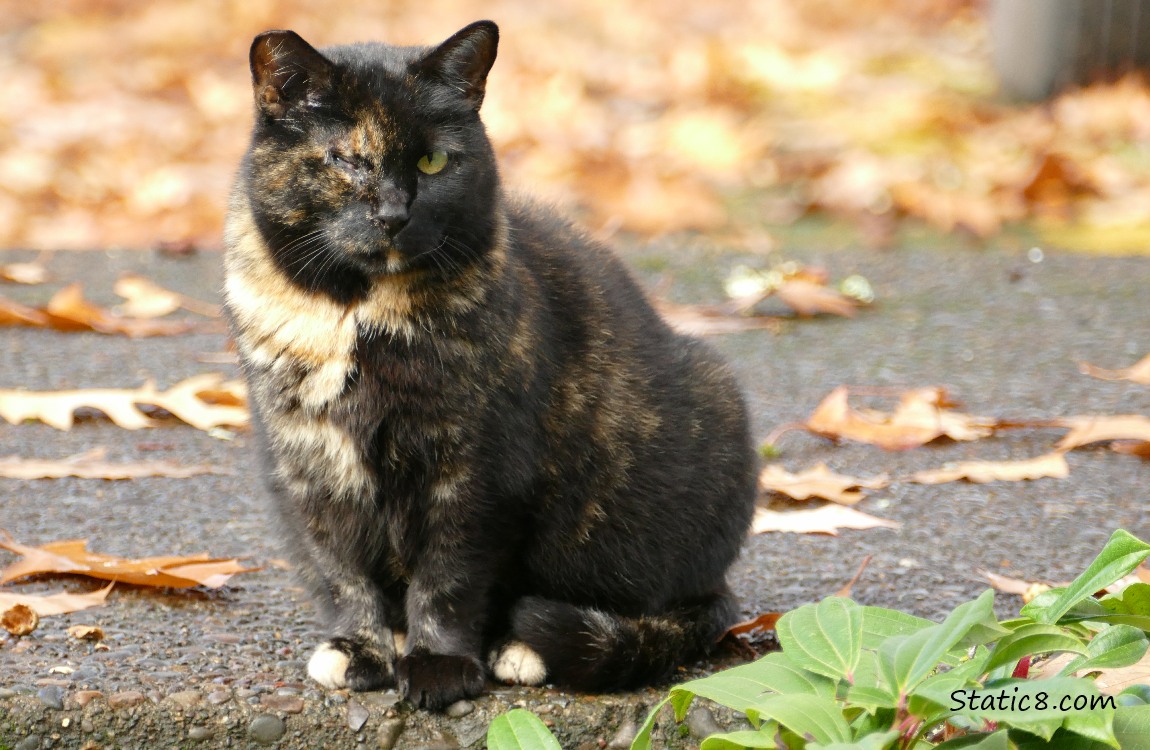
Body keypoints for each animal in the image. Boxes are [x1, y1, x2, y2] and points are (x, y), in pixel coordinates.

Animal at [225, 17, 763, 708]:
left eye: (432, 160)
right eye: (345, 158)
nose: (394, 213)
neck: (359, 319)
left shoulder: (476, 468)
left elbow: (449, 577)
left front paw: (439, 666)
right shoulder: (311, 465)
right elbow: (343, 572)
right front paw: (362, 651)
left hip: (697, 430)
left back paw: (522, 649)